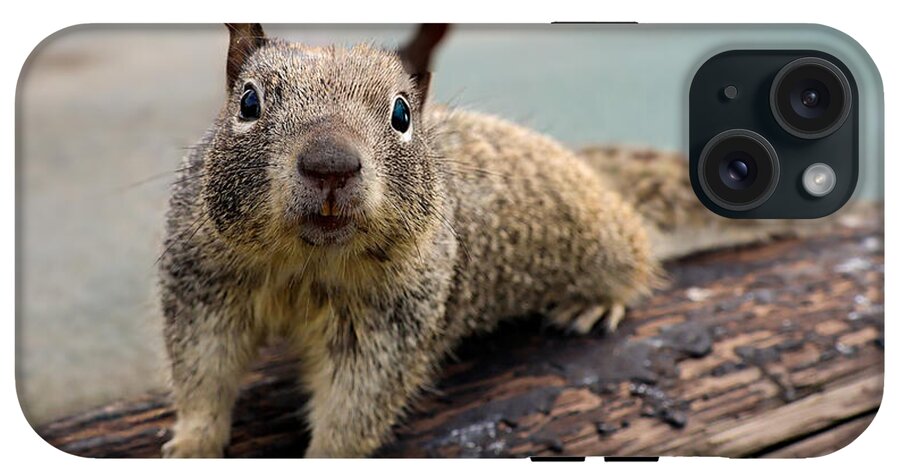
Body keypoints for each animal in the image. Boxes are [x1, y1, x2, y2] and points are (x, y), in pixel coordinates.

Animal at [159, 23, 799, 457]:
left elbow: (355, 406)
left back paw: (596, 301)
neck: (307, 263)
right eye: (248, 102)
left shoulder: (392, 322)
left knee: (636, 254)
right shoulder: (204, 283)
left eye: (401, 114)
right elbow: (203, 372)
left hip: (604, 240)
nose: (330, 164)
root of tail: (596, 176)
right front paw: (191, 443)